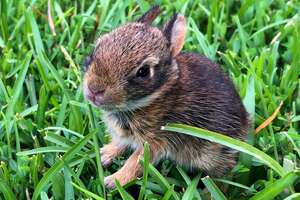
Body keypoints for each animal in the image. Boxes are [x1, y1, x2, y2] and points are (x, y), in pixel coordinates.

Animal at [82, 5, 248, 188]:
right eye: (97, 48)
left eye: (143, 71)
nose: (94, 89)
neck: (156, 95)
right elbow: (120, 145)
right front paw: (104, 154)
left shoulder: (156, 141)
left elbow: (136, 162)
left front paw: (113, 181)